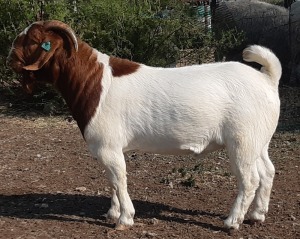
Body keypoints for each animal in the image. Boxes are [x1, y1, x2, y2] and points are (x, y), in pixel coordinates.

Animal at [6, 21, 282, 232]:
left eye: (32, 40)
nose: (9, 58)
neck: (93, 82)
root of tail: (267, 79)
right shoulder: (110, 149)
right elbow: (112, 181)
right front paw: (112, 212)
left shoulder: (108, 147)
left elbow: (119, 180)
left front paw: (124, 219)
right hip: (259, 140)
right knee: (267, 171)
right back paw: (257, 215)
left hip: (242, 141)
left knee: (249, 179)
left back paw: (232, 222)